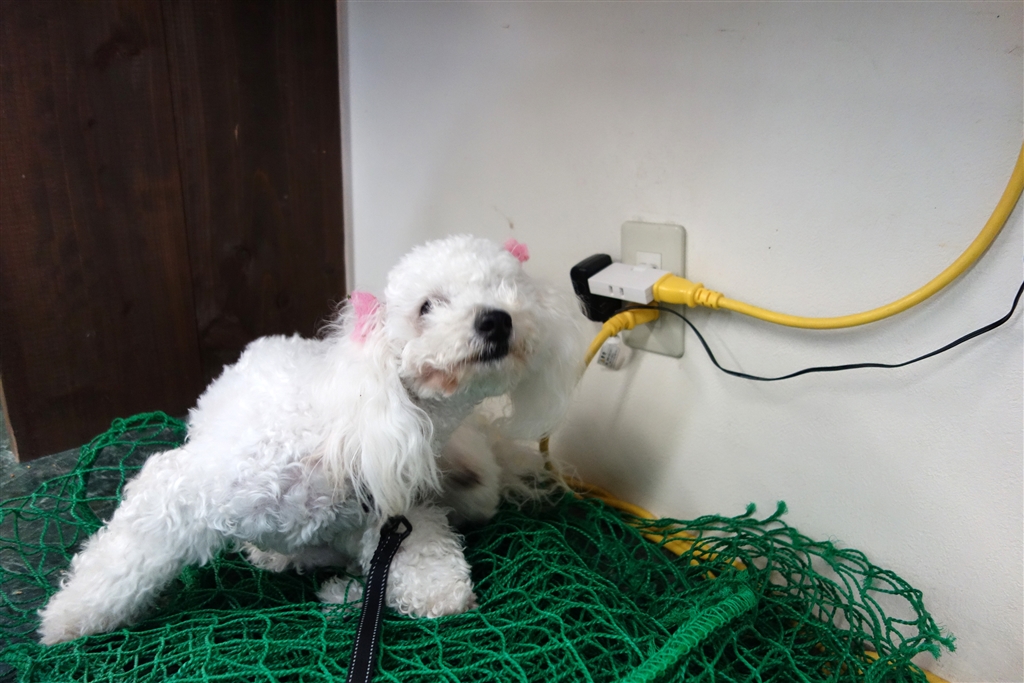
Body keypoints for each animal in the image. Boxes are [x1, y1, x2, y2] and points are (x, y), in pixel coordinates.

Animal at [38, 235, 586, 644]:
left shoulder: (397, 510)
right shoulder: (188, 487)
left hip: (473, 488)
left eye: (507, 290)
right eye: (427, 306)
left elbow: (424, 564)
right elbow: (122, 558)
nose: (496, 318)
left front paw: (428, 591)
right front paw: (68, 616)